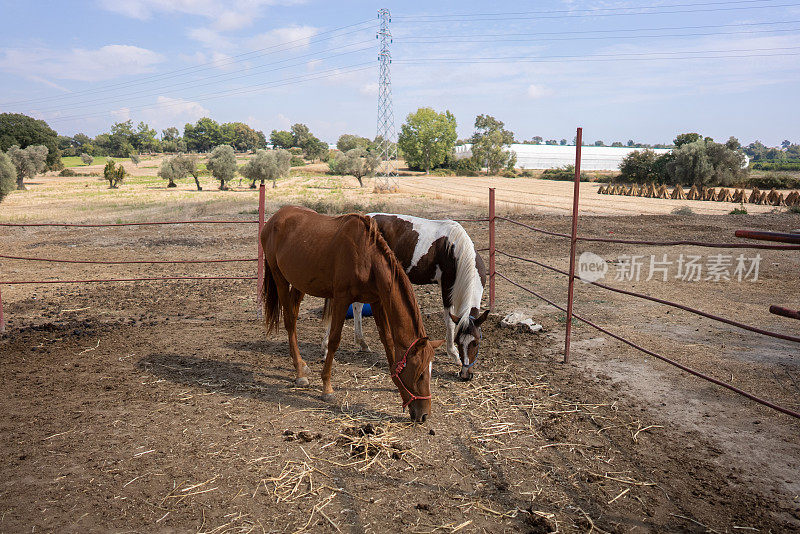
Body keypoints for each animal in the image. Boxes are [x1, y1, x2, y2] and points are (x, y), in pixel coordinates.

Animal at [260, 207, 444, 426]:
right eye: (420, 373)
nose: (424, 415)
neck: (367, 259)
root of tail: (276, 218)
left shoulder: (377, 301)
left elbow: (387, 341)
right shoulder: (341, 299)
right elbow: (334, 341)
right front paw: (327, 388)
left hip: (299, 283)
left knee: (294, 318)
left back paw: (303, 366)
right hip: (279, 277)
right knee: (289, 321)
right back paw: (299, 372)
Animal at [354, 214, 490, 382]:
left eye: (476, 342)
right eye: (458, 342)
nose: (465, 375)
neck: (458, 252)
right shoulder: (447, 288)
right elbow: (449, 321)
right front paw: (453, 354)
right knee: (357, 306)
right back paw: (361, 342)